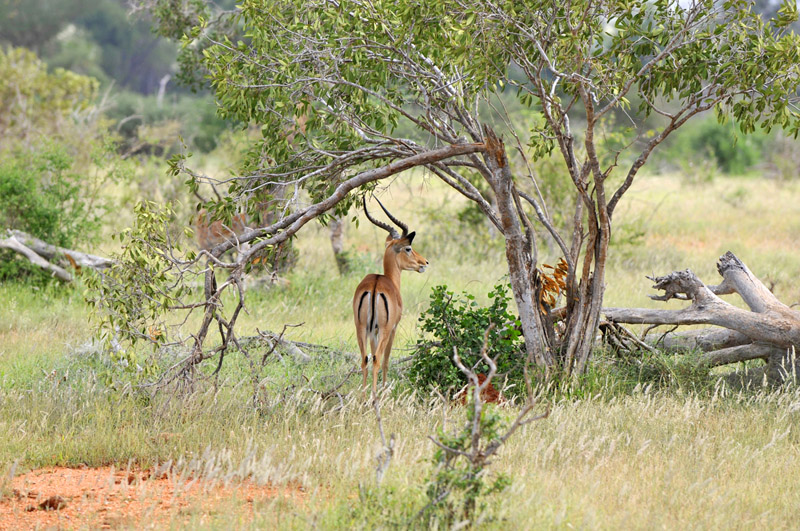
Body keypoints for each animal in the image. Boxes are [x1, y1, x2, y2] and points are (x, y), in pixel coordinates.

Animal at [350, 198, 424, 400]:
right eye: (408, 248)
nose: (424, 263)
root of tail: (374, 287)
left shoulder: (372, 331)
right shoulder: (393, 329)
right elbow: (386, 361)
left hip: (361, 328)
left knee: (364, 359)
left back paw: (363, 398)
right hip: (383, 330)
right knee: (376, 360)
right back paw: (376, 397)